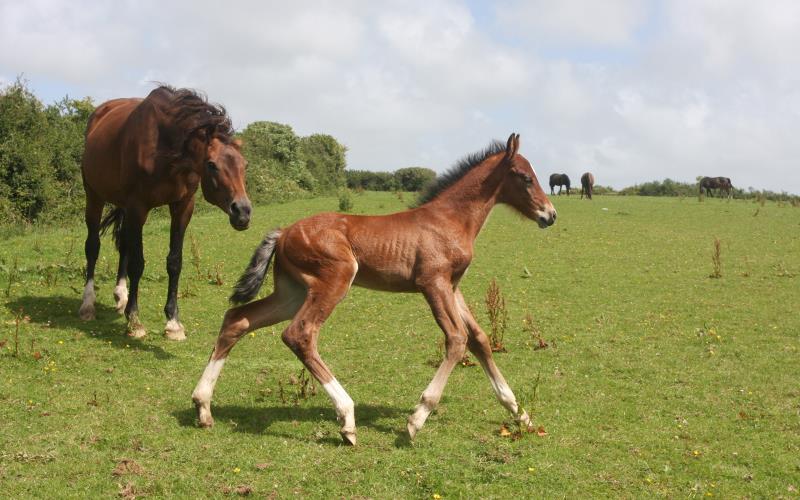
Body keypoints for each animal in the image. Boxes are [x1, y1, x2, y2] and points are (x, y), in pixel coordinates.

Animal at [78, 88, 252, 342]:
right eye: (211, 164)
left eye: (244, 164)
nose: (243, 212)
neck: (166, 149)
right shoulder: (138, 206)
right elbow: (138, 264)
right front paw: (134, 320)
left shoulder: (183, 206)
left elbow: (174, 262)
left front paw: (173, 323)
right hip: (94, 196)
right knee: (93, 246)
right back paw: (88, 305)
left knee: (124, 246)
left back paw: (121, 296)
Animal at [193, 134, 556, 446]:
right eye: (525, 177)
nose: (550, 214)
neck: (450, 220)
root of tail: (283, 232)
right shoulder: (432, 283)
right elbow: (457, 340)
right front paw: (416, 420)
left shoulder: (453, 287)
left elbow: (479, 339)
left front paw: (521, 414)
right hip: (336, 278)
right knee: (300, 333)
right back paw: (347, 419)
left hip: (291, 292)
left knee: (238, 319)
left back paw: (203, 407)